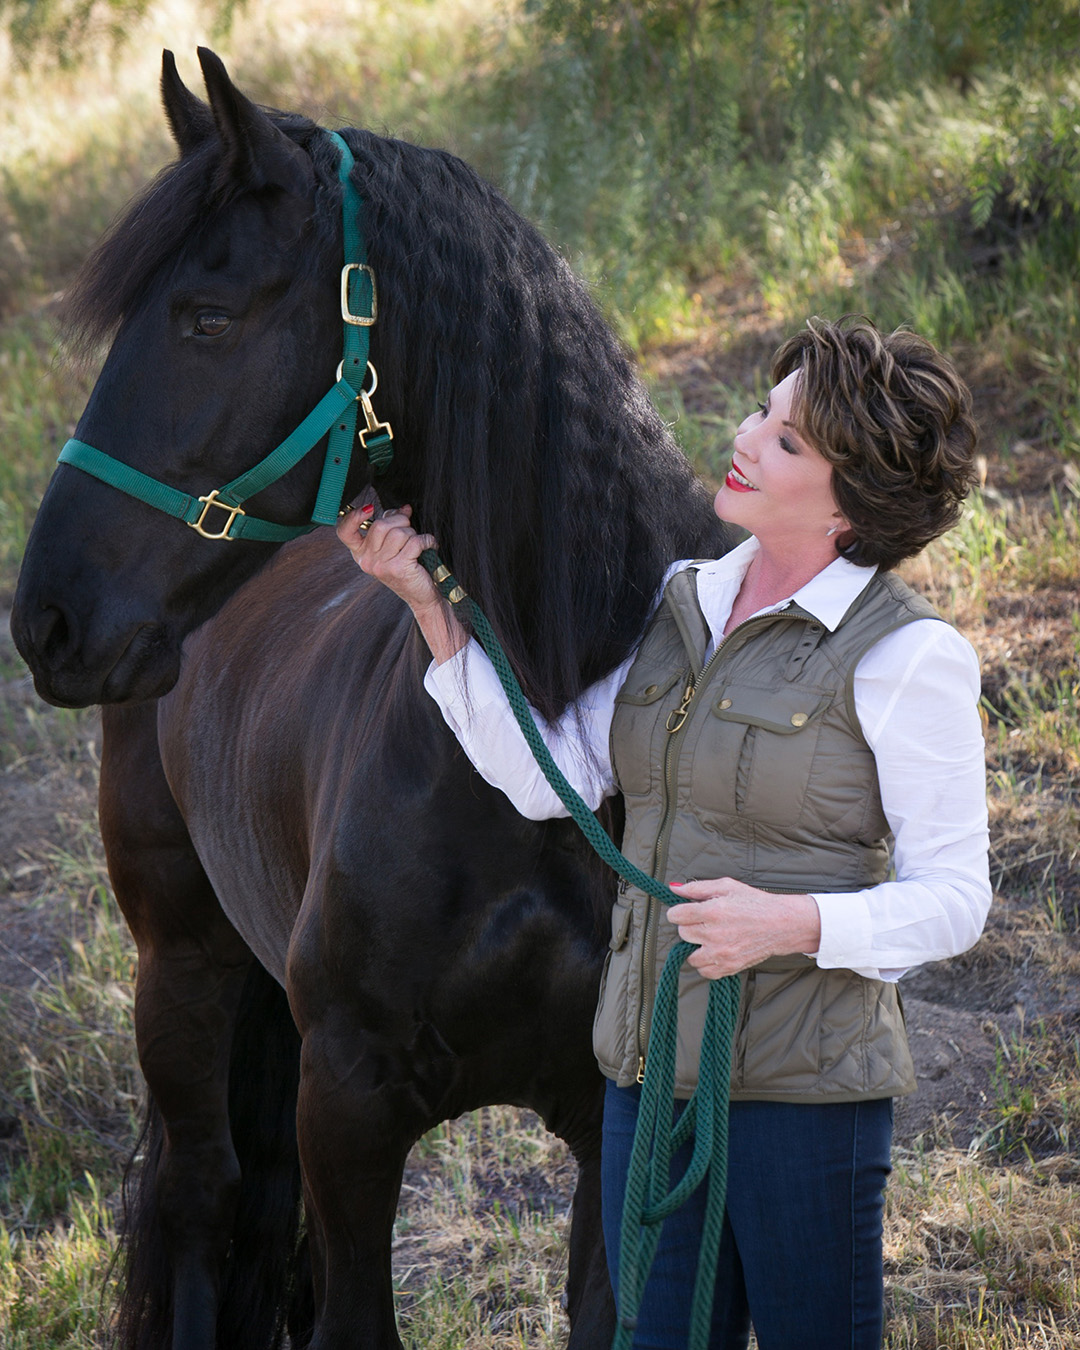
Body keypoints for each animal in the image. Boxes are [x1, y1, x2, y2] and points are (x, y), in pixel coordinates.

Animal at [10, 47, 723, 1344]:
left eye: (206, 316)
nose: (46, 617)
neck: (539, 768)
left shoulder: (617, 1127)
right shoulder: (348, 1104)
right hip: (180, 967)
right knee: (201, 1200)